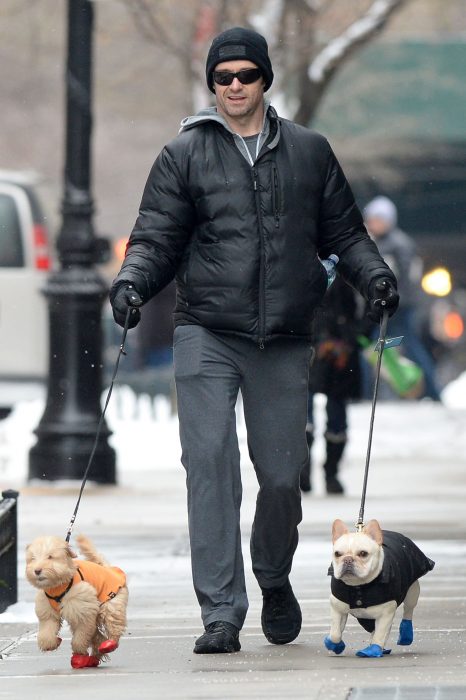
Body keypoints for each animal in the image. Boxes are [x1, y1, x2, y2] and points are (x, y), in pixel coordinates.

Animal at [25, 532, 127, 668]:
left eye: (50, 557)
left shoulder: (83, 611)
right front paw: (52, 643)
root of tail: (108, 568)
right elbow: (46, 632)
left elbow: (81, 637)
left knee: (113, 624)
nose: (37, 570)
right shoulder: (48, 612)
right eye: (33, 558)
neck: (58, 586)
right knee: (97, 636)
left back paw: (109, 643)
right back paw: (95, 655)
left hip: (111, 602)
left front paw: (79, 654)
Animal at [324, 520, 434, 656]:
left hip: (412, 592)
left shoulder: (386, 613)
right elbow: (335, 633)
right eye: (337, 554)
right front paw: (335, 645)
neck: (358, 586)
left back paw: (405, 635)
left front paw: (373, 650)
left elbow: (380, 634)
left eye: (363, 553)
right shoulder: (337, 608)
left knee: (408, 611)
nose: (348, 559)